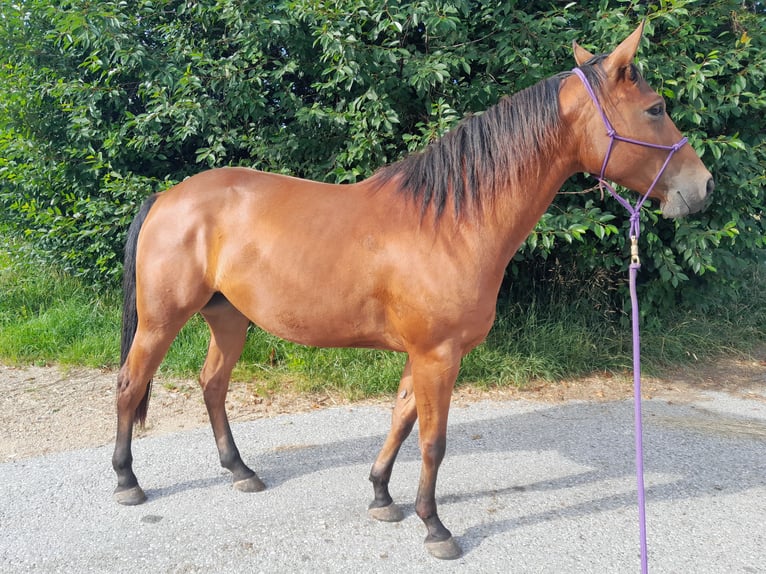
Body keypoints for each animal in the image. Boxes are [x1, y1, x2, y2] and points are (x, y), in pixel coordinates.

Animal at [112, 22, 713, 560]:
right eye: (656, 108)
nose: (703, 186)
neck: (450, 223)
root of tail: (168, 196)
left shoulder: (422, 355)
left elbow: (400, 419)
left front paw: (382, 496)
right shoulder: (438, 355)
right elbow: (432, 440)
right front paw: (435, 527)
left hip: (228, 318)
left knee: (212, 385)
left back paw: (240, 470)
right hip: (162, 320)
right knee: (129, 385)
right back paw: (127, 481)